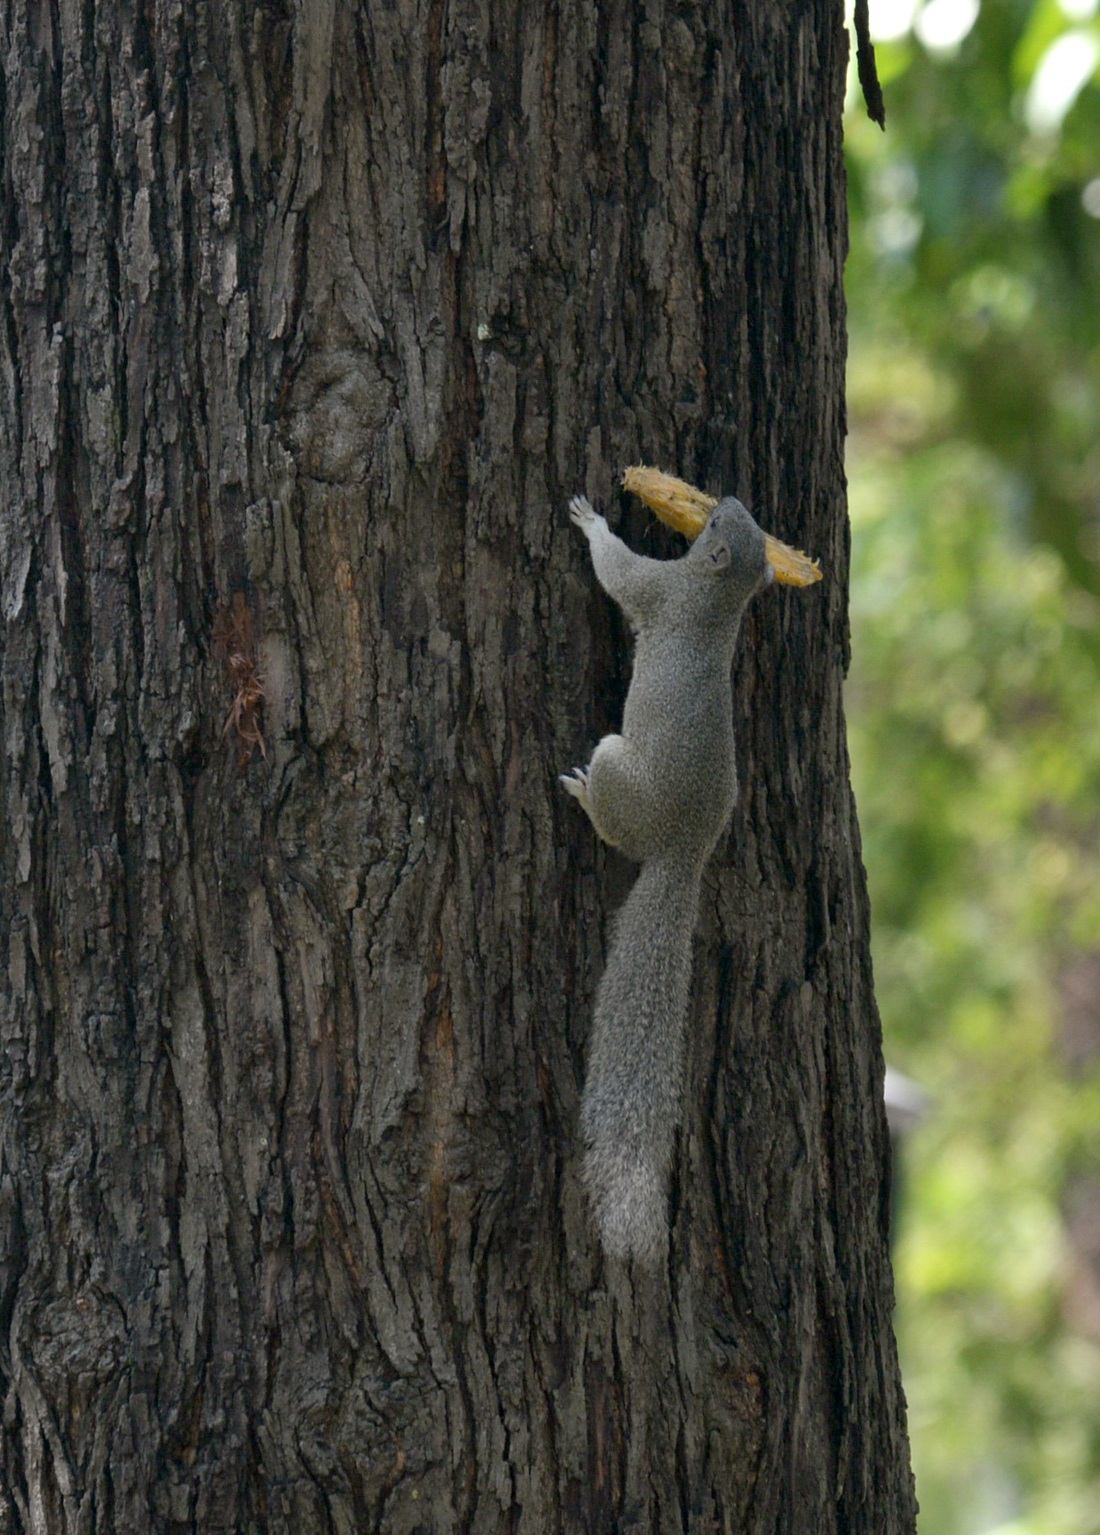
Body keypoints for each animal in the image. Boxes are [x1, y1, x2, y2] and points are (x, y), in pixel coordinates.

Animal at [558, 488, 782, 1258]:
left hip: (619, 768)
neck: (717, 601)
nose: (729, 496)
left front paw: (592, 522)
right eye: (742, 524)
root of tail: (683, 852)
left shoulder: (660, 590)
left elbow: (618, 574)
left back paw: (583, 795)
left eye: (715, 524)